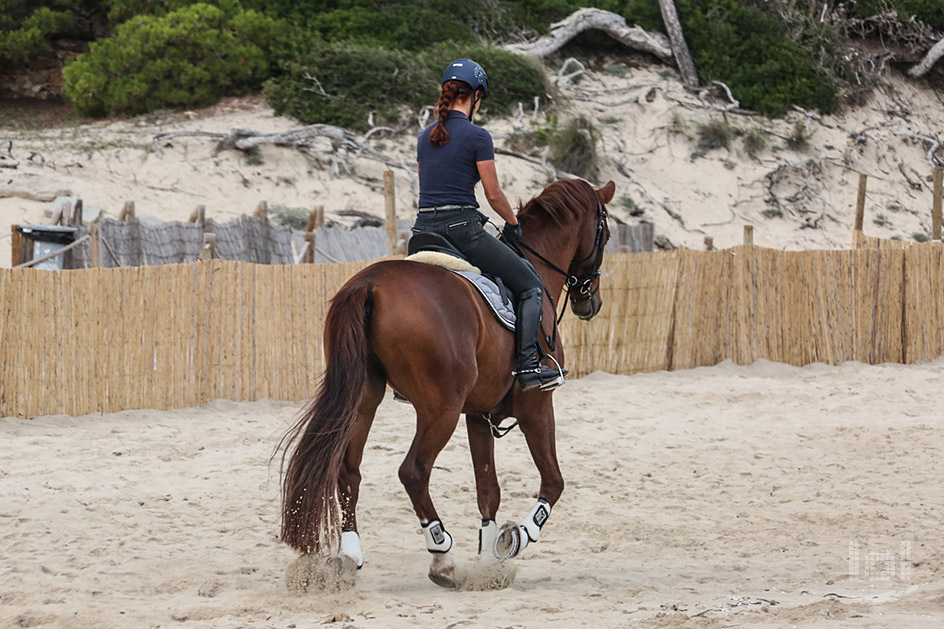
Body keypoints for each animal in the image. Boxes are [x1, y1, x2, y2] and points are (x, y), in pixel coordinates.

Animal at [278, 178, 620, 588]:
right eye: (606, 234)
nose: (591, 303)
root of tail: (369, 283)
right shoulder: (536, 405)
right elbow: (553, 481)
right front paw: (515, 538)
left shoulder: (478, 415)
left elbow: (488, 490)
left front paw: (488, 564)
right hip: (440, 408)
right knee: (413, 471)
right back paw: (442, 556)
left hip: (365, 399)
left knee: (348, 471)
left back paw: (349, 555)